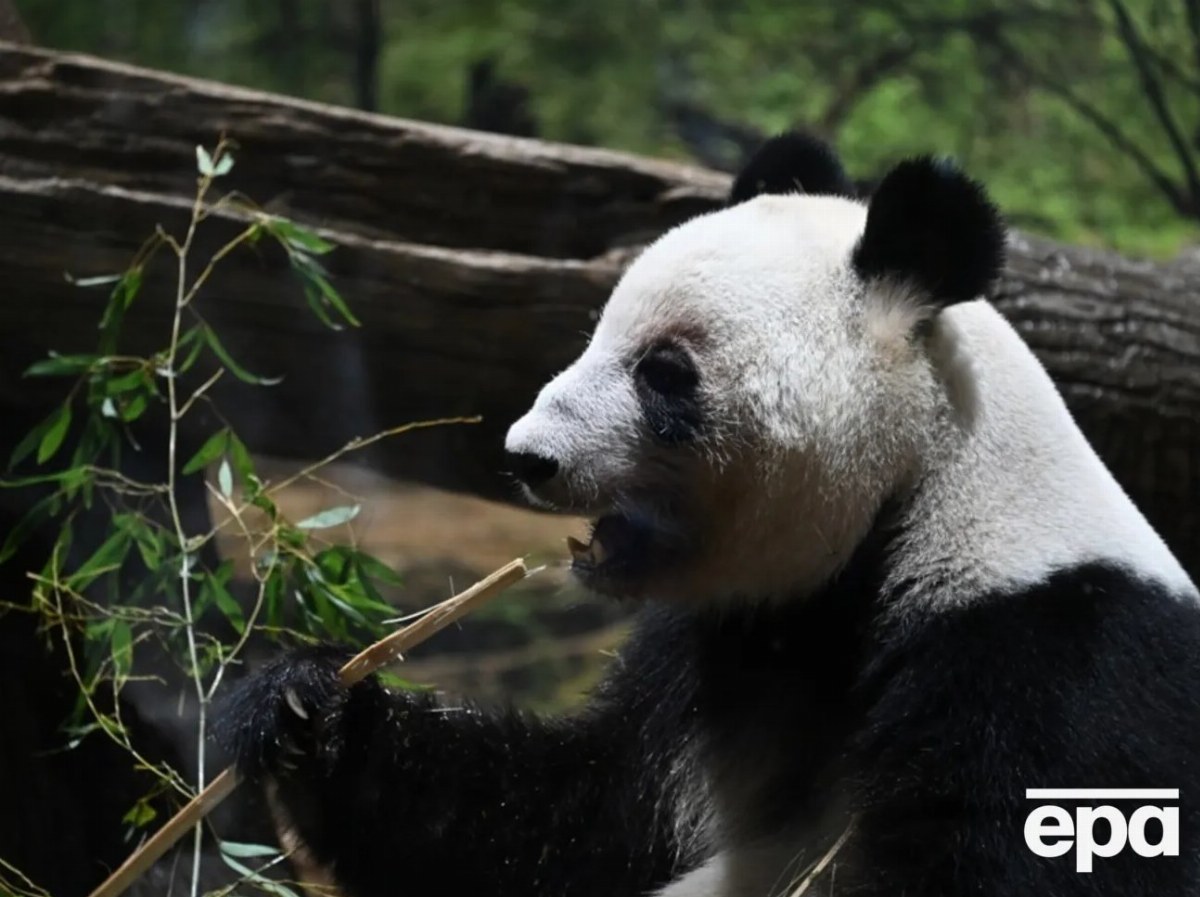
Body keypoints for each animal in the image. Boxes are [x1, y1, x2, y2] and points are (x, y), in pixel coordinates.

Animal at [217, 133, 1200, 897]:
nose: (527, 455)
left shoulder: (1048, 658)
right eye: (594, 332)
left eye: (663, 371)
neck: (910, 500)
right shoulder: (721, 650)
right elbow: (576, 817)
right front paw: (310, 707)